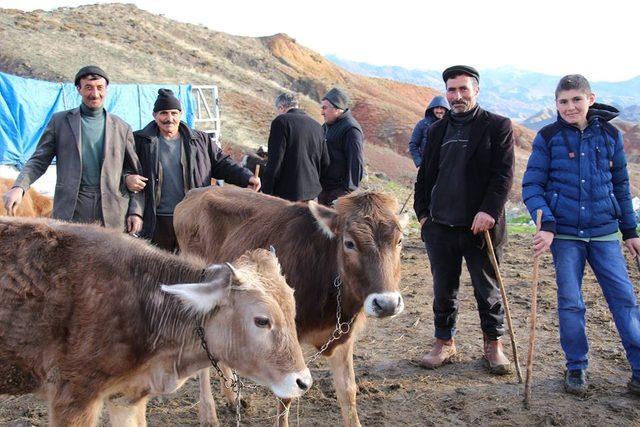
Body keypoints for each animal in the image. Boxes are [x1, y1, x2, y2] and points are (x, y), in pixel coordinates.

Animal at [172, 186, 408, 426]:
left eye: (399, 241)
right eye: (349, 243)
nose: (387, 304)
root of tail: (195, 192)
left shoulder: (343, 336)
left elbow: (347, 391)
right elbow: (286, 395)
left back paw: (232, 398)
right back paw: (209, 415)